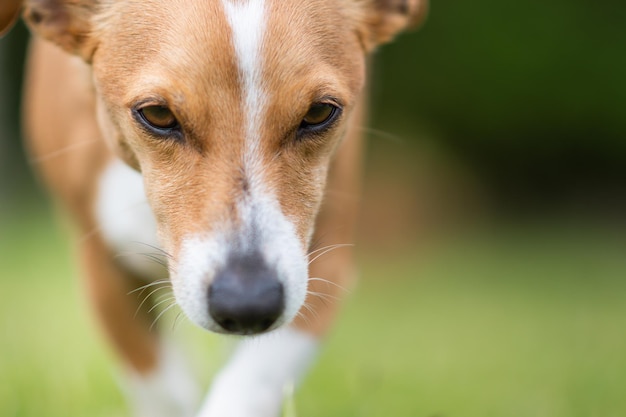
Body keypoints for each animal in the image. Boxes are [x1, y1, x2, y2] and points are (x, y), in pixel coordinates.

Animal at [1, 1, 424, 414]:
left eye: (320, 112)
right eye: (157, 114)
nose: (248, 304)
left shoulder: (326, 266)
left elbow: (248, 386)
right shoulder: (103, 270)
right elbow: (165, 391)